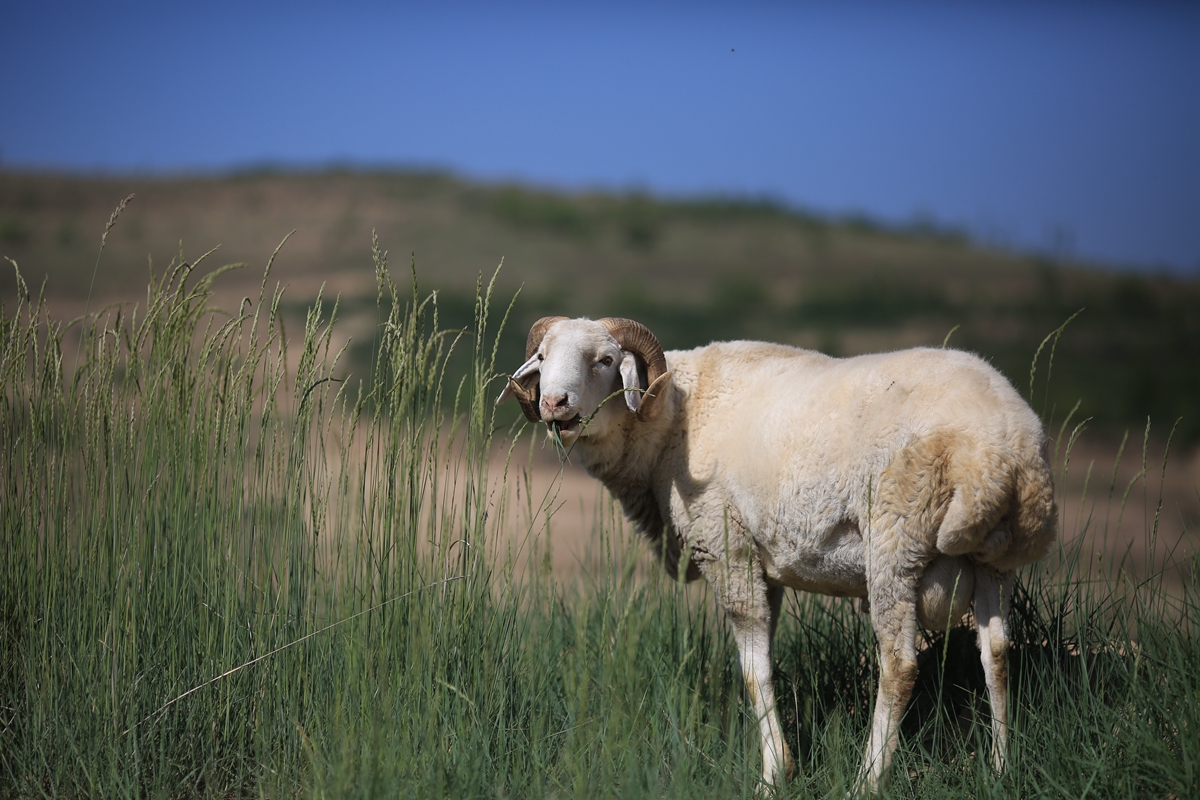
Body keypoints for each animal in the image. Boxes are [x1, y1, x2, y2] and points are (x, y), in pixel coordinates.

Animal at [492, 316, 1056, 791]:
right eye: (541, 356)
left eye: (606, 360)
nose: (555, 404)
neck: (672, 414)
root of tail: (1006, 450)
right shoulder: (768, 567)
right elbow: (766, 661)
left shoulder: (727, 549)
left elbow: (752, 671)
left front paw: (773, 777)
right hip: (996, 564)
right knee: (997, 653)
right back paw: (1002, 768)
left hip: (896, 546)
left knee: (899, 665)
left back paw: (867, 780)